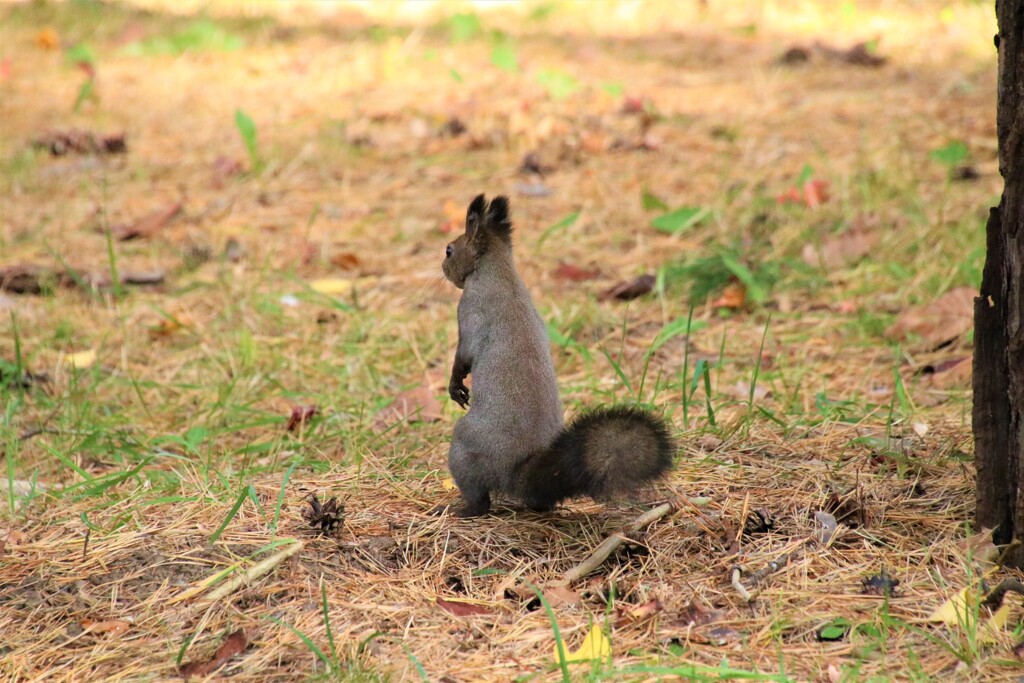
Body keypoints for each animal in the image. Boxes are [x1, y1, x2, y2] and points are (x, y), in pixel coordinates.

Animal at [438, 193, 671, 518]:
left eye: (450, 250)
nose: (443, 268)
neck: (498, 271)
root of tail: (517, 473)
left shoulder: (471, 314)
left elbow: (463, 357)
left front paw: (455, 386)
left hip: (464, 450)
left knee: (480, 500)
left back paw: (460, 509)